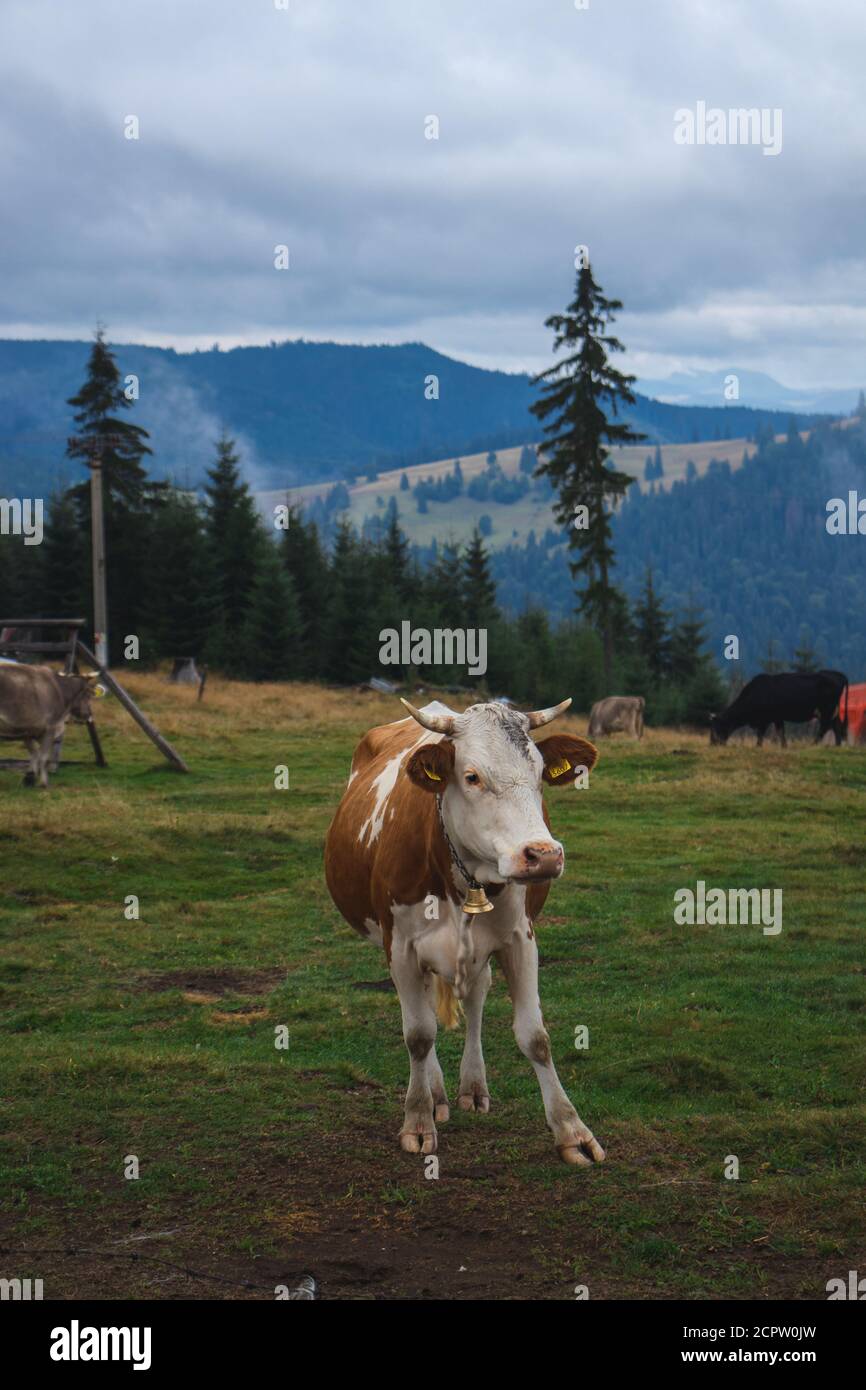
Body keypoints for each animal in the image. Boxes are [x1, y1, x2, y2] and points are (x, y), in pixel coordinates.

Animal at [322, 700, 606, 1167]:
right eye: (471, 776)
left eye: (539, 773)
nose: (544, 855)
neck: (461, 876)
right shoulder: (400, 947)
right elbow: (418, 1036)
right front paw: (418, 1121)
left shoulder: (520, 938)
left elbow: (535, 1037)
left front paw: (572, 1131)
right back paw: (436, 1093)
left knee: (475, 996)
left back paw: (472, 1086)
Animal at [717, 672, 850, 750]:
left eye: (718, 726)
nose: (714, 743)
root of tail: (838, 674)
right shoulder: (776, 718)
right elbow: (779, 731)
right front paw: (783, 746)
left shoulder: (768, 718)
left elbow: (764, 732)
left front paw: (758, 746)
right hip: (833, 711)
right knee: (836, 726)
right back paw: (837, 745)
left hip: (827, 709)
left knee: (825, 726)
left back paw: (814, 744)